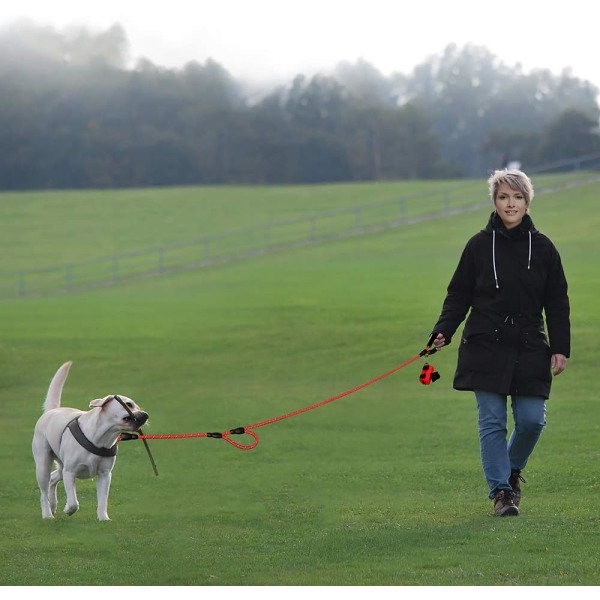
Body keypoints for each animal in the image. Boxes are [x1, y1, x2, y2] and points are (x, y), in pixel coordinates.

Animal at [32, 360, 148, 520]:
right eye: (129, 404)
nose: (146, 415)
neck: (101, 438)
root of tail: (51, 410)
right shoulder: (70, 472)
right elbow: (73, 502)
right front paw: (68, 509)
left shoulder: (105, 475)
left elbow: (103, 500)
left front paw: (103, 518)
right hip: (43, 464)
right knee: (44, 490)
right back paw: (47, 514)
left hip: (61, 466)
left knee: (53, 478)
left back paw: (53, 505)